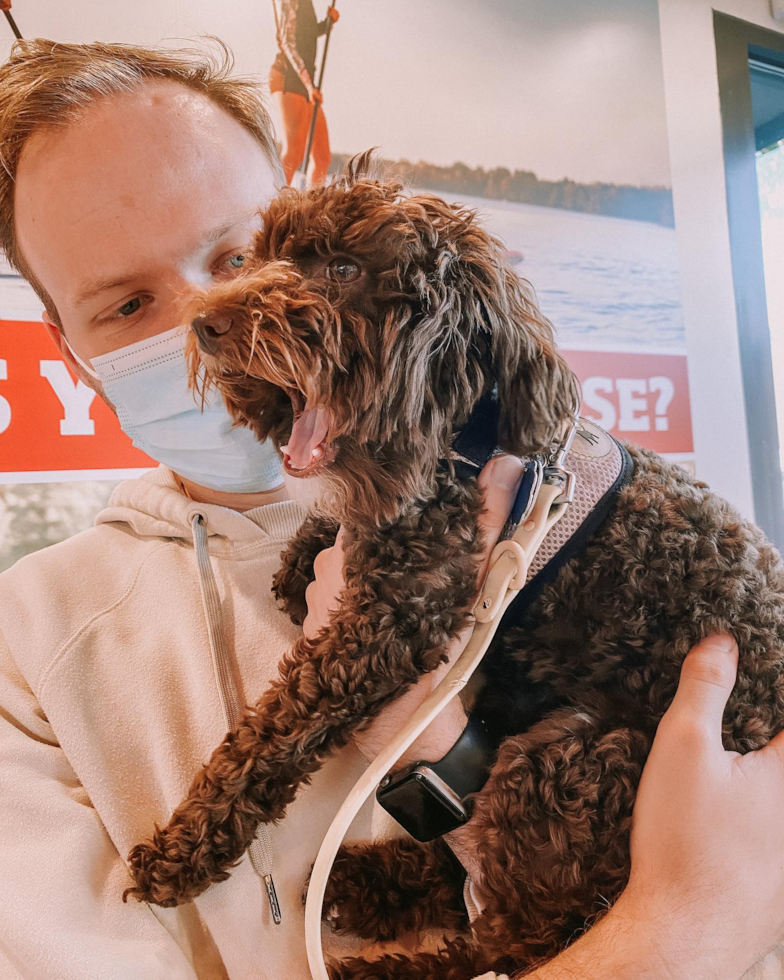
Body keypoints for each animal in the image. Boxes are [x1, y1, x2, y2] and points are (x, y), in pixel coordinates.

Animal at [122, 157, 784, 976]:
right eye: (258, 255)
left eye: (343, 269)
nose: (206, 324)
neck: (464, 441)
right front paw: (304, 556)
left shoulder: (398, 615)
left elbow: (275, 730)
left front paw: (184, 848)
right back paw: (359, 882)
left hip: (575, 762)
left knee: (520, 935)